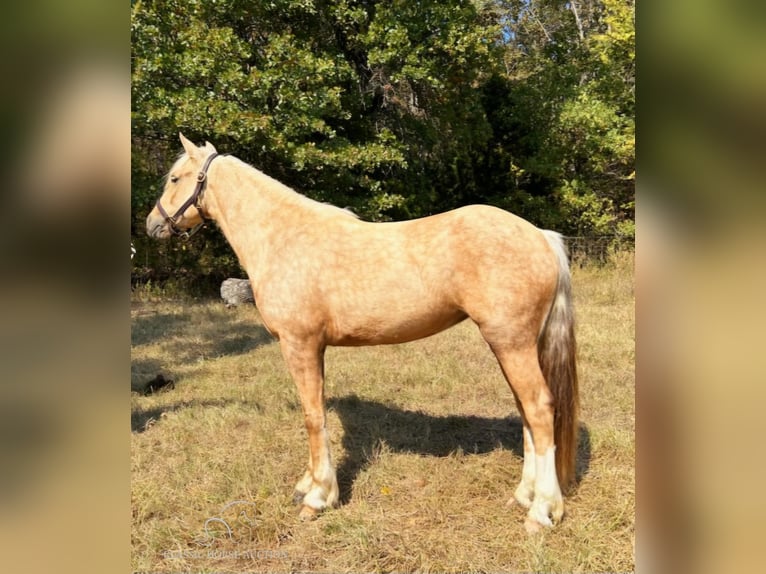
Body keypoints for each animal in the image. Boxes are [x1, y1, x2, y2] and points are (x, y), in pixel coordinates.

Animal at [147, 133, 580, 532]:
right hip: (513, 345)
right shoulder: (314, 348)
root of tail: (541, 236)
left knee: (539, 408)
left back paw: (542, 512)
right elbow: (317, 412)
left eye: (174, 178)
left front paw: (318, 497)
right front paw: (309, 484)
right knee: (527, 412)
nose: (153, 224)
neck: (283, 238)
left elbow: (312, 416)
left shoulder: (299, 345)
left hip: (511, 343)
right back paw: (523, 496)